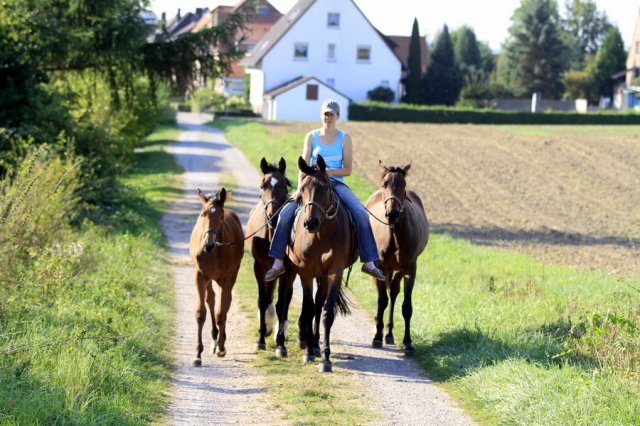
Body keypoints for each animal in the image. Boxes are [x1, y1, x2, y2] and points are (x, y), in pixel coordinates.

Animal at [189, 188, 244, 364]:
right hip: (208, 279)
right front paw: (198, 354)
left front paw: (221, 348)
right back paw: (214, 338)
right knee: (211, 299)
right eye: (202, 214)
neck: (213, 252)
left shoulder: (225, 279)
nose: (209, 244)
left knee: (226, 303)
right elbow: (201, 313)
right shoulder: (200, 276)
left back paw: (220, 340)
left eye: (221, 216)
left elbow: (222, 313)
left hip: (231, 275)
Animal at [245, 156, 298, 356]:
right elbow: (262, 301)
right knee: (268, 298)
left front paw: (281, 344)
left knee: (286, 299)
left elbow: (282, 303)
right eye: (263, 185)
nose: (273, 217)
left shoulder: (287, 271)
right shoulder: (259, 267)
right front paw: (260, 339)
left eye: (283, 185)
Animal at [288, 156, 352, 372]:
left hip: (323, 276)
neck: (321, 235)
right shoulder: (305, 271)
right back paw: (306, 342)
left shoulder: (334, 272)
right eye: (303, 188)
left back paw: (315, 344)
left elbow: (326, 313)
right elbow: (308, 309)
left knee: (318, 303)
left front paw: (325, 358)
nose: (310, 223)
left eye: (325, 187)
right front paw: (308, 352)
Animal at [368, 161, 428, 354]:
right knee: (384, 295)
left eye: (403, 184)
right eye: (384, 184)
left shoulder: (409, 269)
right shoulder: (381, 267)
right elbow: (382, 301)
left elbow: (406, 307)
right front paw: (377, 337)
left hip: (398, 270)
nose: (392, 213)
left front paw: (408, 343)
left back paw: (389, 333)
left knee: (394, 292)